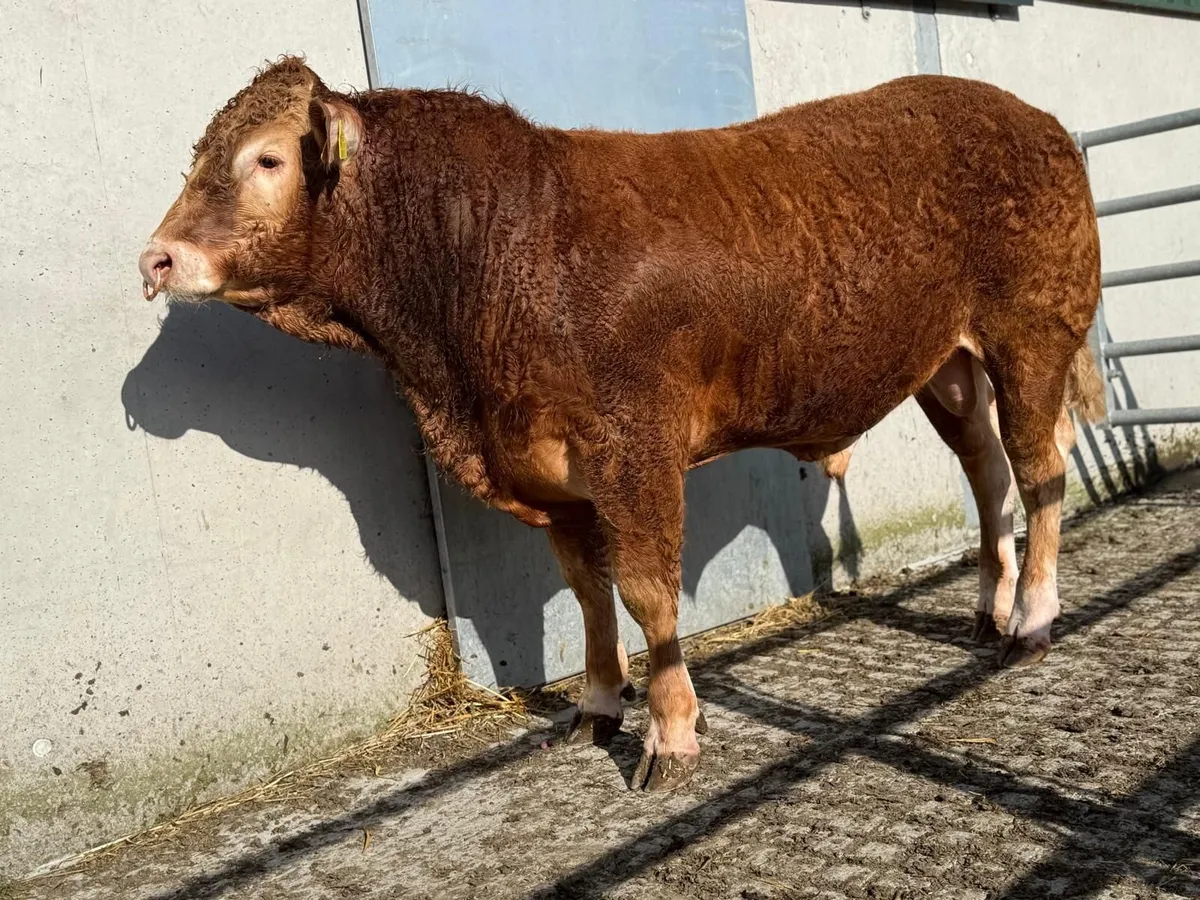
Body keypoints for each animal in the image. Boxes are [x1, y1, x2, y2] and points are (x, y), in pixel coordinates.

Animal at [139, 57, 1104, 792]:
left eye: (267, 159)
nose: (156, 258)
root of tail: (1034, 116)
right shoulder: (552, 473)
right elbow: (587, 594)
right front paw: (600, 707)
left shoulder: (634, 452)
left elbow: (646, 594)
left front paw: (670, 736)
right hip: (949, 366)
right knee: (988, 470)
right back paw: (989, 607)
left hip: (1032, 335)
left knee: (1039, 471)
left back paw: (1031, 622)